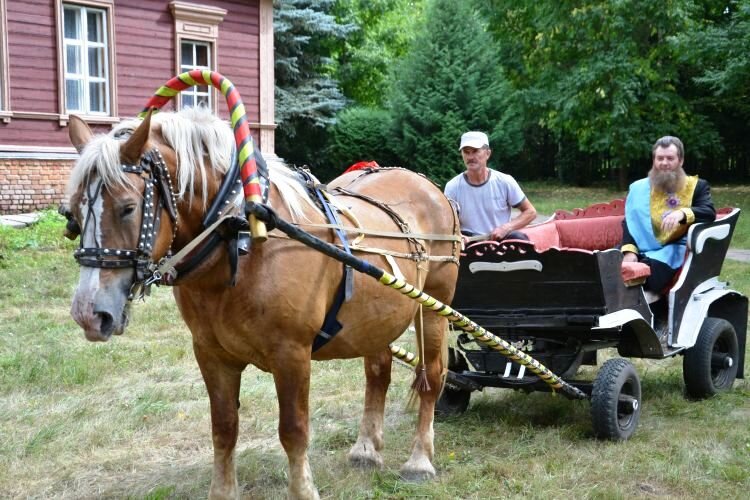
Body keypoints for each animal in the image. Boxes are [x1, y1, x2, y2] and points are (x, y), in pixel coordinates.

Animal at [64, 107, 462, 498]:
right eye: (73, 215)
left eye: (128, 208)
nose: (88, 314)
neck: (240, 237)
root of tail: (430, 188)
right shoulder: (210, 353)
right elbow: (224, 428)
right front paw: (223, 491)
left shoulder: (292, 353)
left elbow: (294, 430)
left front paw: (303, 490)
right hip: (376, 317)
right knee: (378, 371)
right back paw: (367, 448)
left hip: (434, 307)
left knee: (432, 376)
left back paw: (420, 459)